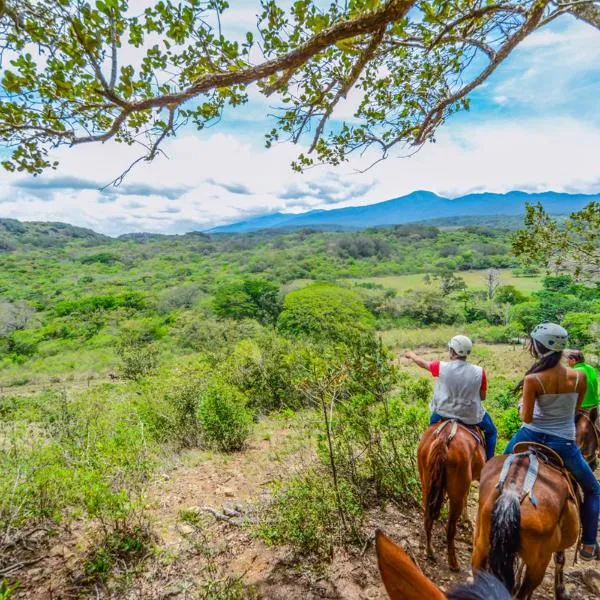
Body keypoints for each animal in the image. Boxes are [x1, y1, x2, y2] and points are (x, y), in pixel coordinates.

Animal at [420, 420, 486, 568]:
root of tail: (444, 436)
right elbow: (467, 496)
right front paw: (466, 519)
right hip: (457, 494)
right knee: (450, 528)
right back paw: (453, 563)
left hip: (426, 484)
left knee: (427, 518)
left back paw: (429, 550)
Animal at [472, 442, 580, 596]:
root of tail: (513, 490)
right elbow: (560, 559)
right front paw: (561, 591)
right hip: (538, 565)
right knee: (523, 594)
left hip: (481, 544)